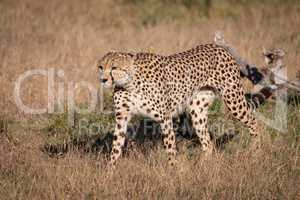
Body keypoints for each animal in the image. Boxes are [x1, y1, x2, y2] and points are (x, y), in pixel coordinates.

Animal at [97, 43, 258, 166]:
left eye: (114, 68)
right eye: (100, 67)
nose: (103, 80)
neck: (130, 84)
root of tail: (217, 46)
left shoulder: (165, 118)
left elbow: (170, 146)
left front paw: (172, 169)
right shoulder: (122, 118)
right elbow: (116, 147)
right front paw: (109, 172)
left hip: (234, 100)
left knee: (253, 121)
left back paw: (254, 150)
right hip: (197, 111)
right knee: (207, 142)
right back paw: (202, 166)